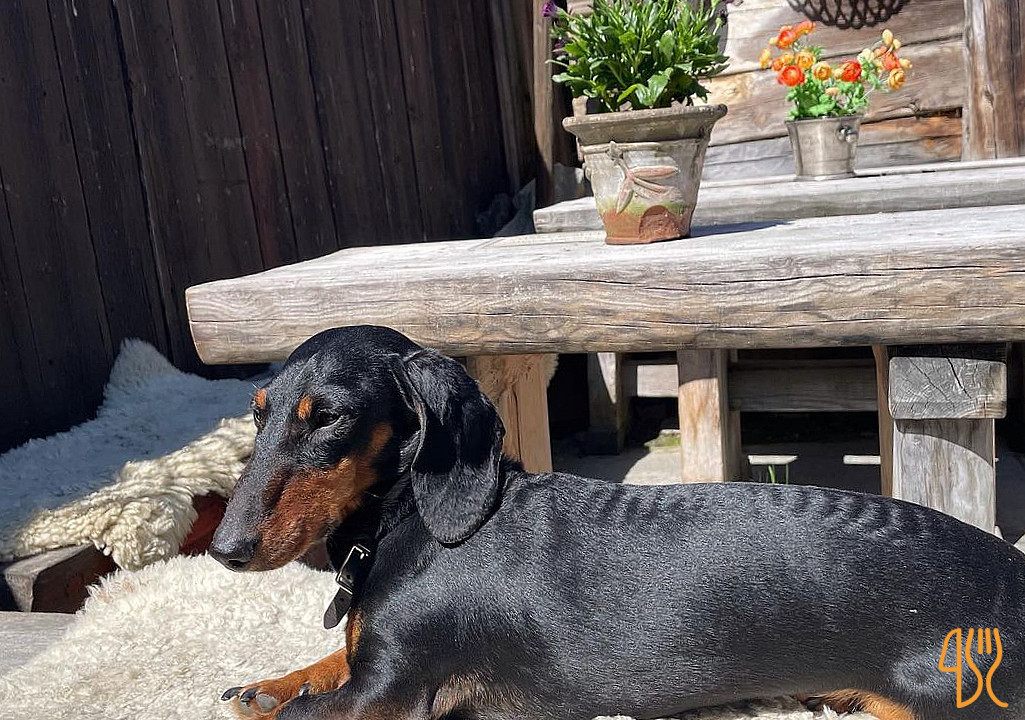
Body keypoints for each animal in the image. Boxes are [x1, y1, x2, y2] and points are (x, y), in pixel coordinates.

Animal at [210, 325, 1025, 720]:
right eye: (257, 414)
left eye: (328, 419)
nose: (222, 551)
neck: (409, 520)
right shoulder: (370, 669)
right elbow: (327, 662)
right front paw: (272, 684)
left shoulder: (388, 695)